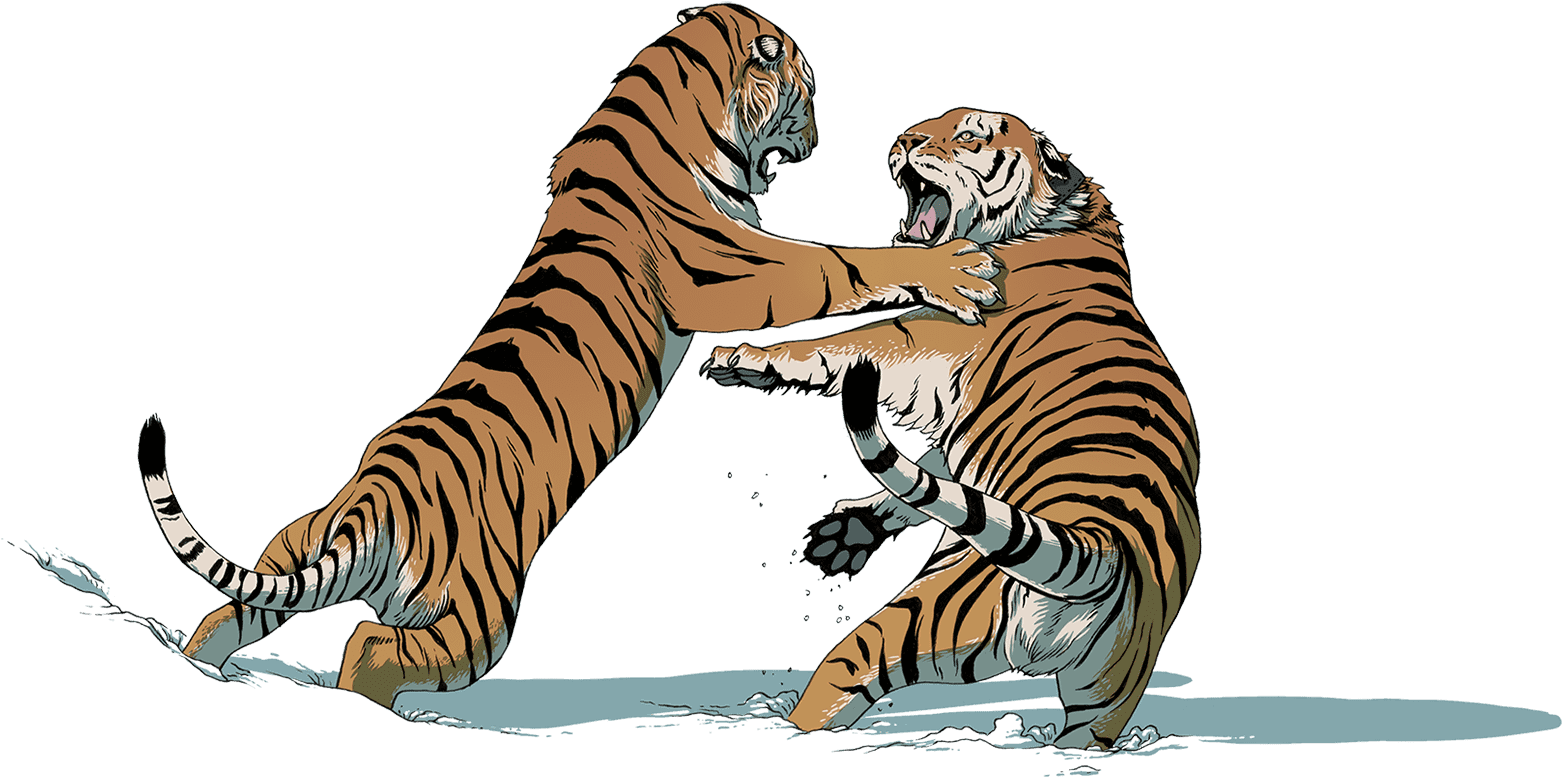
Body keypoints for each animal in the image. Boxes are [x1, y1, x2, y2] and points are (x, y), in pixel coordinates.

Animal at [136, 5, 1003, 711]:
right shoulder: (737, 268)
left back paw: (201, 665)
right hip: (478, 616)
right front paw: (956, 268)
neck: (673, 90)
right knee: (369, 650)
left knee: (225, 612)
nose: (823, 133)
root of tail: (372, 504)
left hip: (287, 553)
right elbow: (838, 263)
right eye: (805, 87)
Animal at [699, 107, 1200, 750]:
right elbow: (927, 482)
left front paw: (738, 359)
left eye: (968, 135)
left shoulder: (926, 336)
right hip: (1102, 705)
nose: (903, 141)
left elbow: (836, 343)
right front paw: (847, 535)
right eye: (932, 122)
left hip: (916, 617)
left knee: (838, 673)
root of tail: (1104, 544)